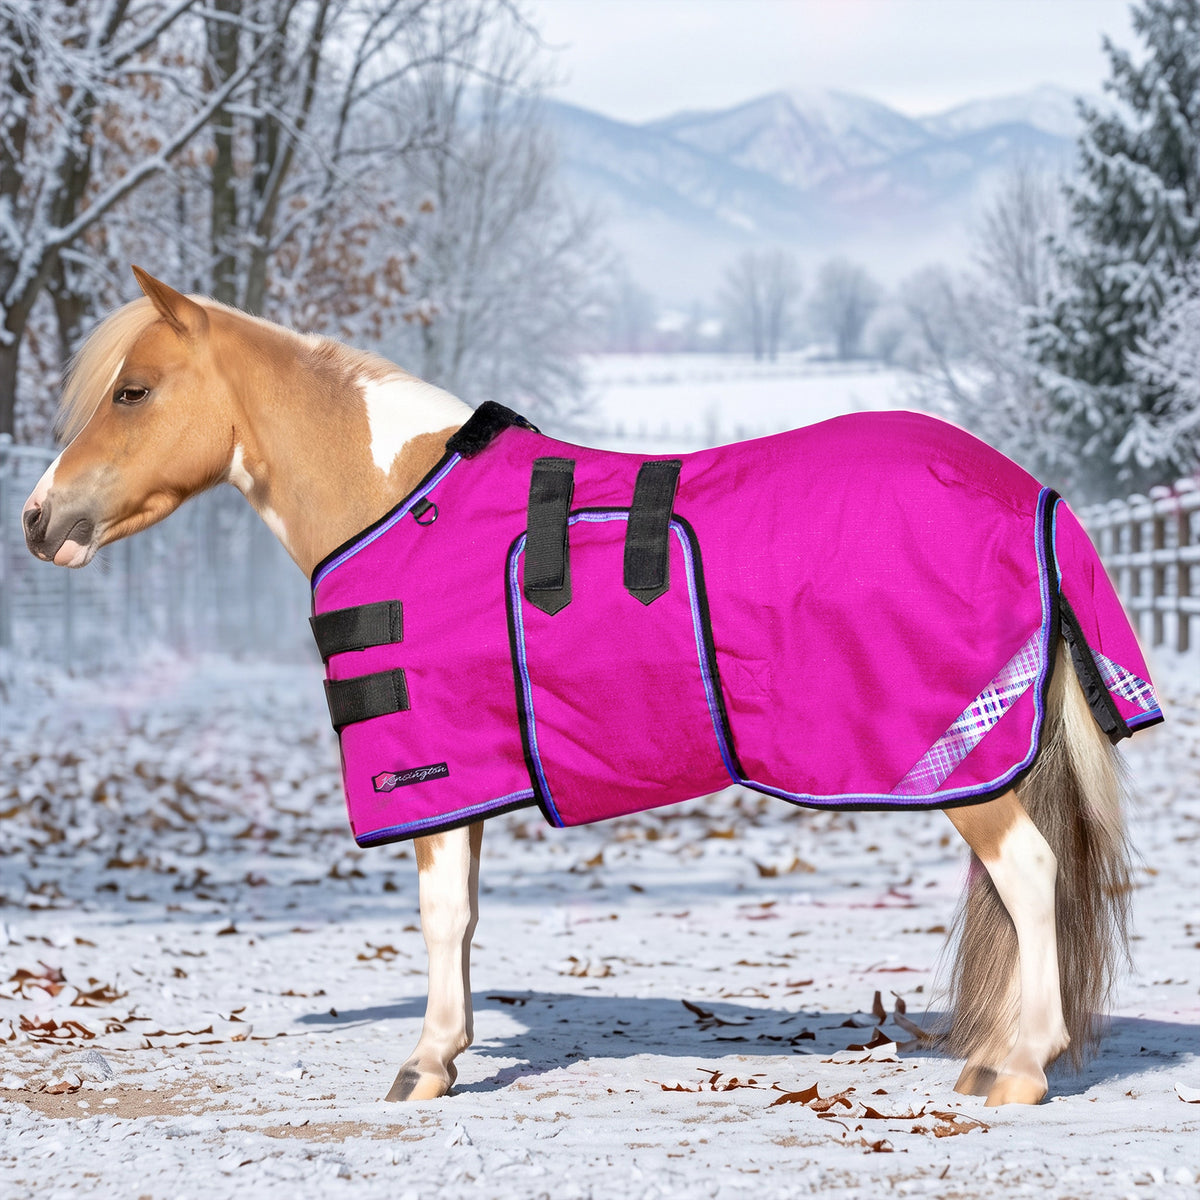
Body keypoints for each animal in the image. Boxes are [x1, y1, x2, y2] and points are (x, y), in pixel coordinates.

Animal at [21, 267, 1157, 1109]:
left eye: (133, 391)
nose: (39, 519)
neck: (401, 497)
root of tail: (1028, 492)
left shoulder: (438, 766)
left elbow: (439, 915)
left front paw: (426, 1063)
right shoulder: (472, 776)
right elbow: (467, 915)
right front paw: (447, 1050)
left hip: (960, 763)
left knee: (1030, 874)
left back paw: (1022, 1069)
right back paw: (996, 1051)